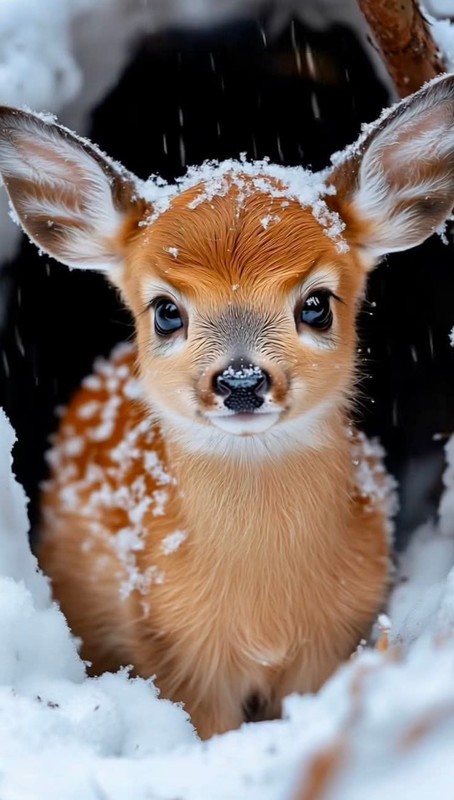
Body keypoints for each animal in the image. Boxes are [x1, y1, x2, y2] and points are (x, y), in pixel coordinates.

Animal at [0, 74, 453, 740]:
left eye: (316, 304)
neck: (262, 608)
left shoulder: (333, 641)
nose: (242, 381)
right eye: (166, 310)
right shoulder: (177, 650)